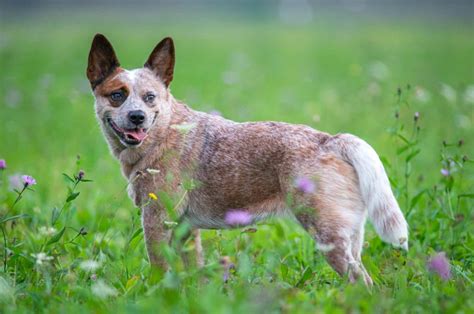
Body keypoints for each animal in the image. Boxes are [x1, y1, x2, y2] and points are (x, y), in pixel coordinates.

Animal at [88, 33, 408, 284]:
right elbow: (193, 274)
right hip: (350, 236)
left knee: (360, 281)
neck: (163, 131)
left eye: (150, 97)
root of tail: (331, 141)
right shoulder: (185, 229)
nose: (137, 116)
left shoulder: (157, 220)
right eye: (117, 95)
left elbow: (158, 270)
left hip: (327, 235)